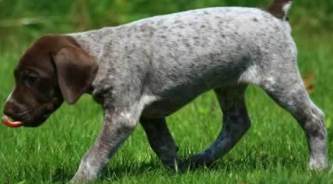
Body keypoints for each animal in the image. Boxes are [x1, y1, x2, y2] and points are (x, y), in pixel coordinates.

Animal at [1, 0, 326, 183]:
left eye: (31, 78)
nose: (8, 111)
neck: (103, 53)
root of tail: (273, 15)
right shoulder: (151, 117)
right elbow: (165, 147)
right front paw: (178, 173)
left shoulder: (122, 116)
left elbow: (93, 157)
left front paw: (78, 180)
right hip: (228, 84)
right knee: (237, 124)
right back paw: (203, 159)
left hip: (279, 78)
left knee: (314, 118)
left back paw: (318, 166)